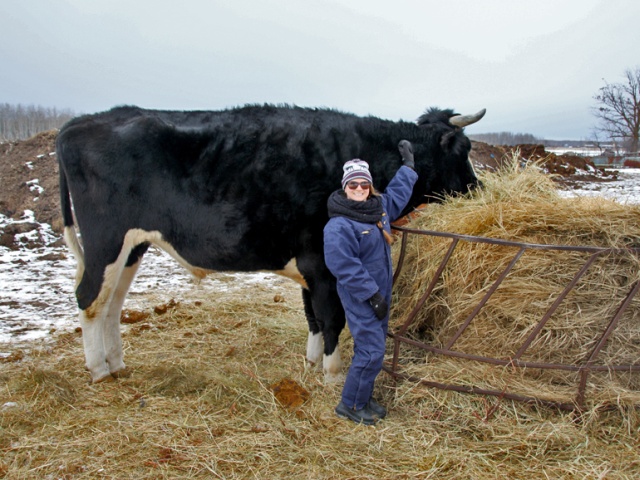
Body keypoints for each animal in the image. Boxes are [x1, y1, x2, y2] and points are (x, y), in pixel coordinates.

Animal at [56, 104, 484, 382]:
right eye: (464, 150)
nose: (480, 187)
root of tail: (80, 123)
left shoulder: (310, 266)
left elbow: (312, 316)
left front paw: (311, 364)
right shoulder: (324, 264)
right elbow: (332, 318)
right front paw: (332, 374)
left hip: (132, 246)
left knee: (112, 304)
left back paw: (117, 364)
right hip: (106, 239)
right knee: (89, 299)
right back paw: (98, 370)